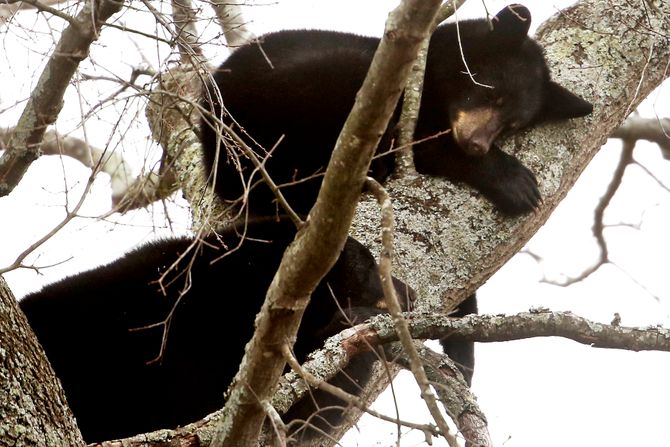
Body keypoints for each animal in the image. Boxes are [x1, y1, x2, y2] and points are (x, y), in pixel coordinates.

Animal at [200, 3, 592, 219]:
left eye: (512, 125)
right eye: (492, 94)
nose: (478, 145)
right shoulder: (409, 100)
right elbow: (425, 142)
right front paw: (517, 183)